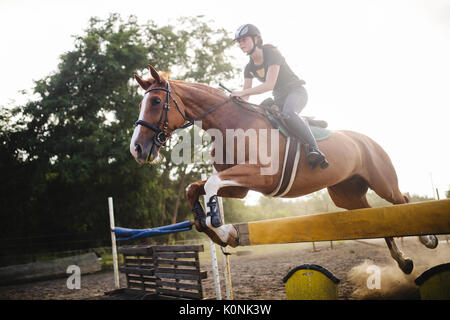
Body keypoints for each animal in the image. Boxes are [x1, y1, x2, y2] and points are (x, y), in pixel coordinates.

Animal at [129, 65, 436, 276]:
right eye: (142, 103)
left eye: (156, 102)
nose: (137, 149)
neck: (230, 124)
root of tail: (367, 140)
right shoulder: (241, 187)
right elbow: (194, 188)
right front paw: (222, 231)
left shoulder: (262, 176)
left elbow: (212, 184)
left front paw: (220, 225)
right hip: (346, 196)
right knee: (377, 218)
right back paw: (404, 262)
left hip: (383, 182)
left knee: (402, 201)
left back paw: (428, 239)